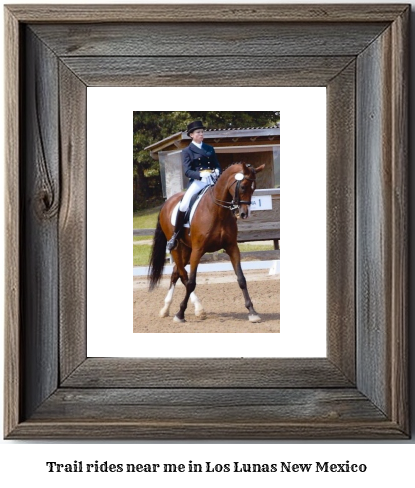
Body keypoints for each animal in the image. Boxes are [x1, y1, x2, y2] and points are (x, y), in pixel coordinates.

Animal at [149, 162, 266, 326]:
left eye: (254, 188)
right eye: (243, 187)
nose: (244, 214)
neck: (217, 211)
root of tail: (168, 202)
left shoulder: (232, 247)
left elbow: (241, 279)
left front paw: (252, 312)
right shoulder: (198, 250)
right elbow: (191, 282)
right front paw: (180, 314)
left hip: (186, 249)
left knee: (175, 273)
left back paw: (167, 309)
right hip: (177, 248)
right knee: (183, 275)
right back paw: (196, 308)